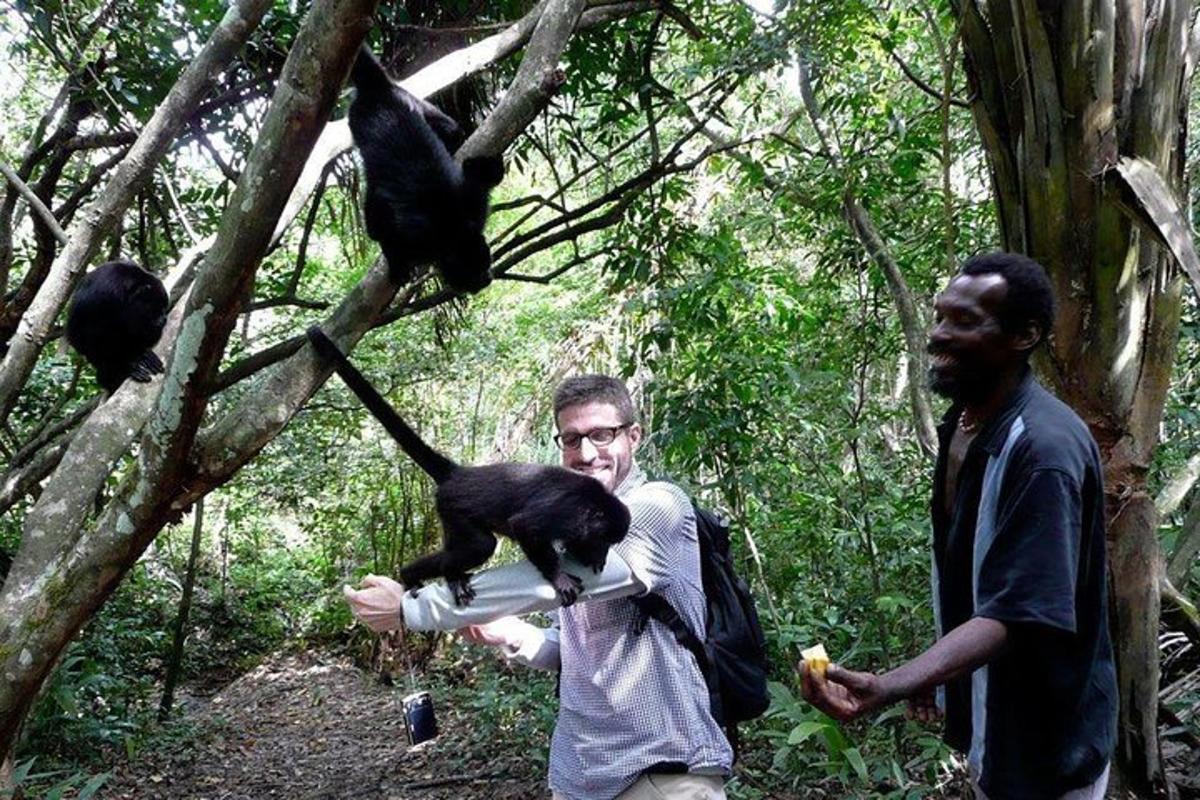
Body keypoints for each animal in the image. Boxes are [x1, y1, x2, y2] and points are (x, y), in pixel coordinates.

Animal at [67, 260, 169, 393]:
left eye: (164, 308)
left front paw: (144, 354)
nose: (163, 319)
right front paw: (123, 367)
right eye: (156, 308)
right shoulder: (101, 294)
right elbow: (77, 334)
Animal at [307, 326, 628, 606]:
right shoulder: (566, 511)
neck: (593, 503)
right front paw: (558, 577)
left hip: (447, 513)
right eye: (602, 539)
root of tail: (459, 473)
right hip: (454, 507)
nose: (601, 554)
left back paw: (410, 575)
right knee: (480, 545)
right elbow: (524, 525)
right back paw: (448, 574)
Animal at [345, 47, 504, 297]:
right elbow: (379, 229)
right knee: (374, 202)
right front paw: (396, 264)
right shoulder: (417, 239)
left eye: (486, 264)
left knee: (452, 130)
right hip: (357, 118)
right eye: (474, 274)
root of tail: (379, 88)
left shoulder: (472, 209)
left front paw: (485, 169)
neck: (453, 228)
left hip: (412, 100)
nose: (487, 278)